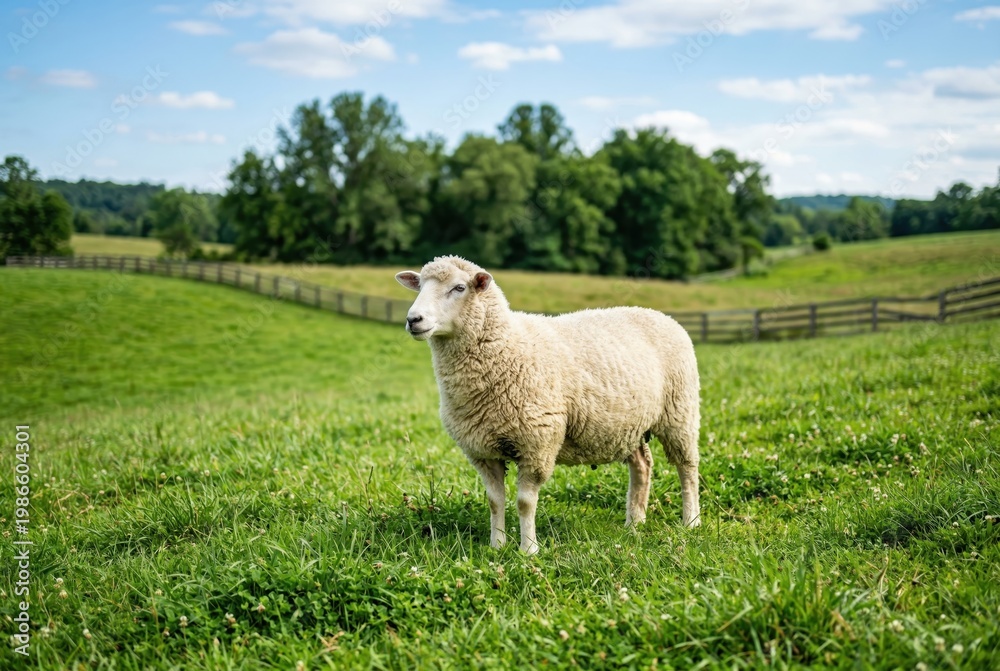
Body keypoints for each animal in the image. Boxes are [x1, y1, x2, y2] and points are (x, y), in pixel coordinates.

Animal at [395, 256, 701, 554]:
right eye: (420, 286)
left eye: (459, 288)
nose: (413, 319)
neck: (506, 348)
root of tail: (658, 314)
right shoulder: (483, 450)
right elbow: (495, 501)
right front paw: (497, 546)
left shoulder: (537, 444)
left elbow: (525, 502)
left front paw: (528, 550)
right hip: (630, 426)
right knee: (642, 465)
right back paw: (635, 521)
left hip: (680, 412)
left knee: (687, 467)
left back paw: (691, 521)